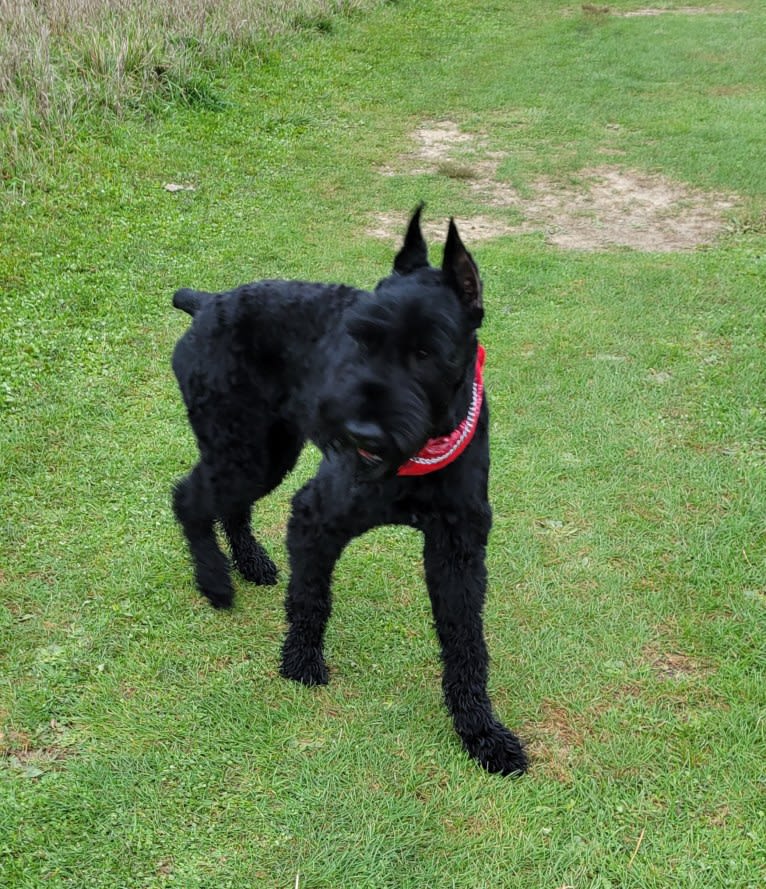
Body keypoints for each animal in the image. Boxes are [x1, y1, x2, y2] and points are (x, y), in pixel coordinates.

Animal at [170, 208, 528, 776]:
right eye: (361, 339)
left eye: (426, 351)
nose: (358, 431)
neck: (421, 450)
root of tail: (207, 302)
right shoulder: (316, 516)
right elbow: (310, 597)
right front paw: (300, 663)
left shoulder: (458, 550)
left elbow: (466, 643)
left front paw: (481, 734)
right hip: (245, 450)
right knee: (190, 498)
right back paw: (215, 582)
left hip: (264, 451)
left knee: (228, 504)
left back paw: (250, 564)